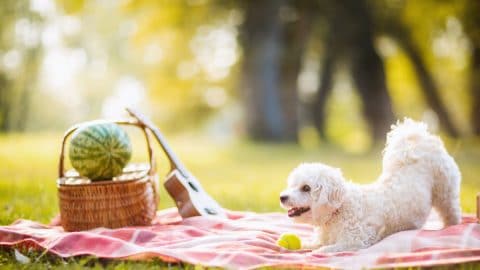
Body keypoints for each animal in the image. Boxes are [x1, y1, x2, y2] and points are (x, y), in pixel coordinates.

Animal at [282, 119, 462, 252]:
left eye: (306, 188)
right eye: (291, 185)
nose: (282, 197)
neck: (339, 210)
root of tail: (419, 140)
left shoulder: (356, 241)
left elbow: (329, 248)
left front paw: (320, 251)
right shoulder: (326, 237)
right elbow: (311, 244)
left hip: (445, 192)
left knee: (451, 212)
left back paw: (451, 228)